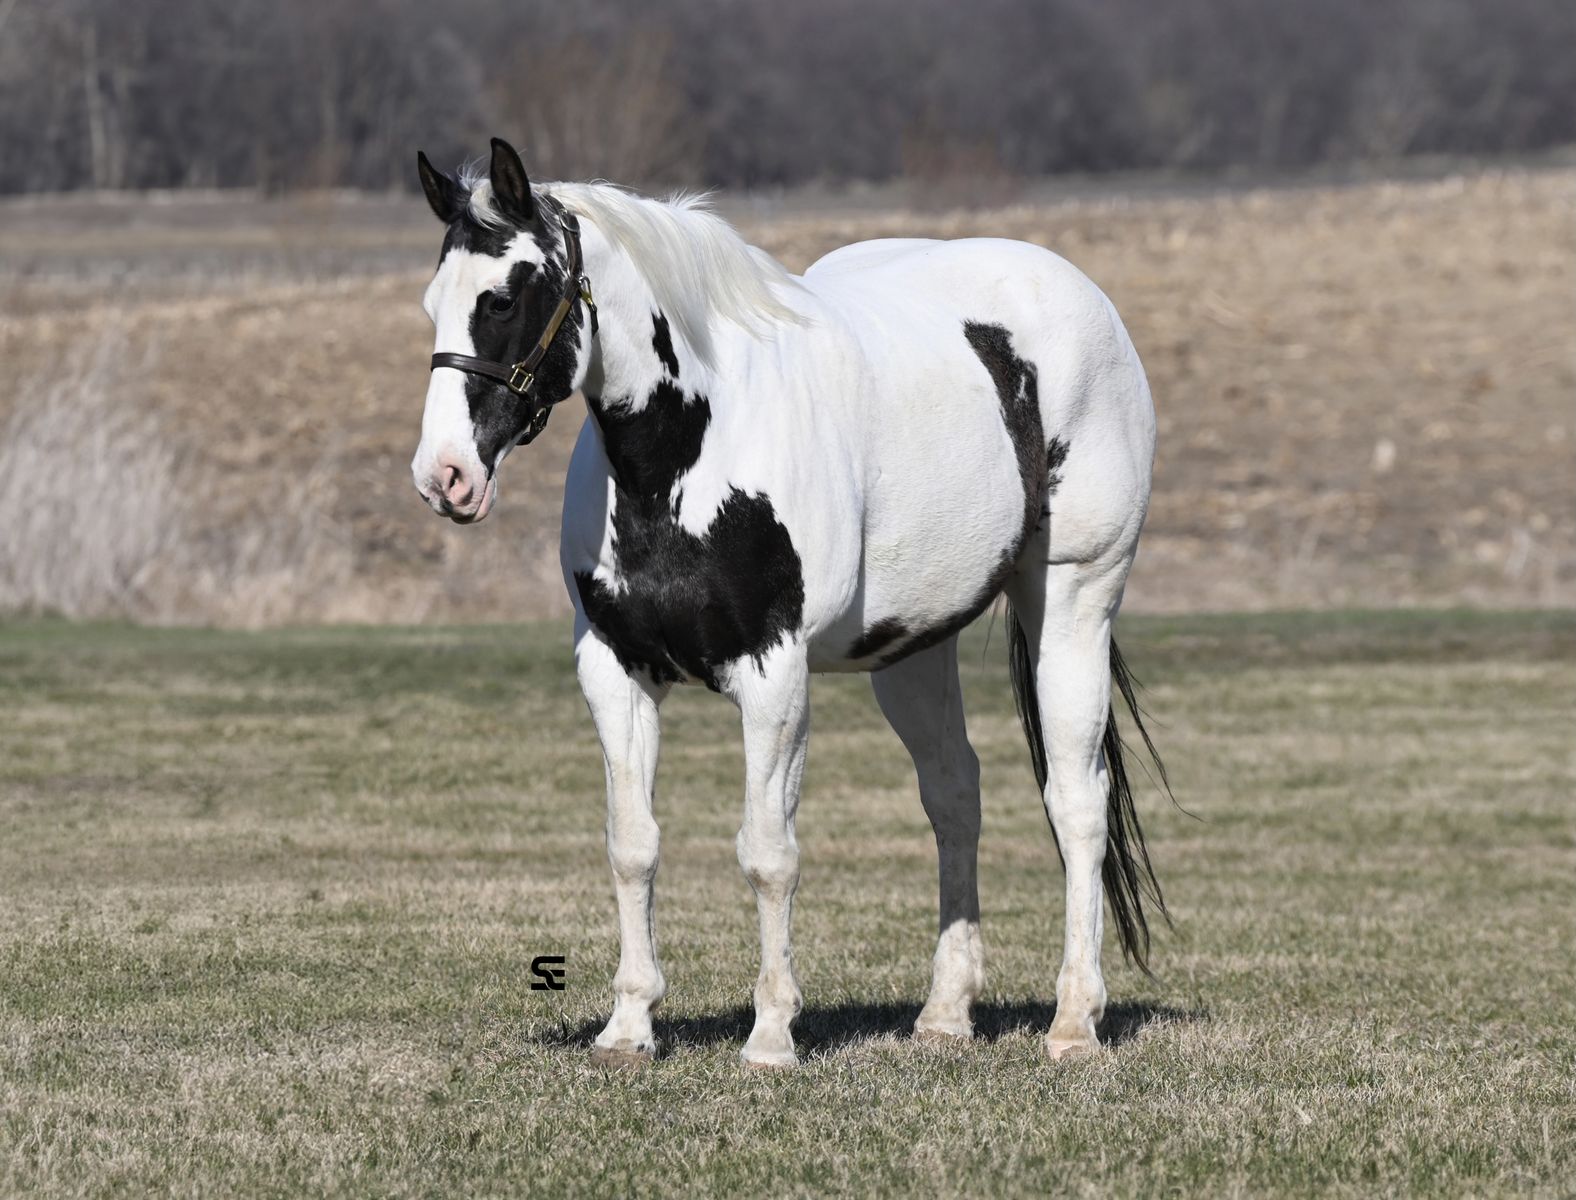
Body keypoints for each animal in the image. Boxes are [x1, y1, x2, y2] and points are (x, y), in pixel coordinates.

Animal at [411, 138, 1167, 1068]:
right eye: (432, 302)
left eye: (505, 297)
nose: (444, 476)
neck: (688, 450)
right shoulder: (615, 671)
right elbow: (633, 846)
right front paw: (628, 1027)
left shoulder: (773, 674)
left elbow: (768, 852)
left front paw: (771, 1034)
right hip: (914, 648)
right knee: (955, 793)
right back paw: (945, 1014)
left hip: (1073, 600)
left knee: (1077, 801)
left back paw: (1073, 1021)